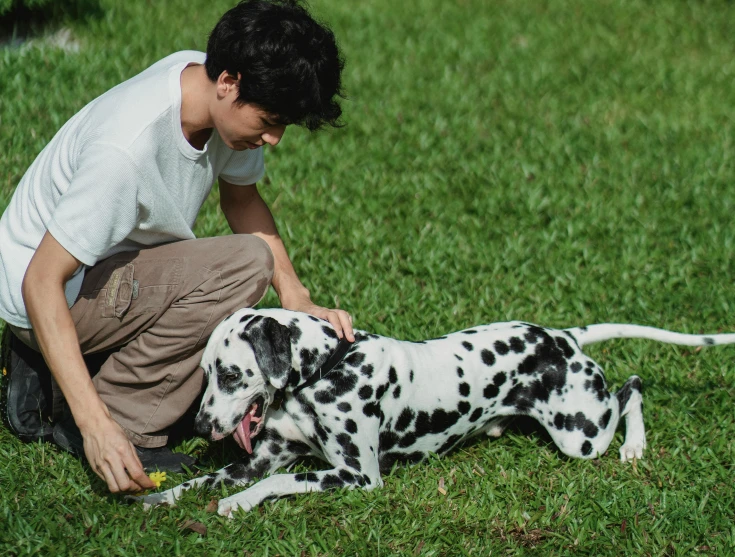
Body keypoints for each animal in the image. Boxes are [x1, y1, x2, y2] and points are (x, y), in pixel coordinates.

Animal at [138, 306, 735, 516]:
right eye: (206, 373)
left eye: (231, 374)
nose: (200, 426)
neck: (329, 367)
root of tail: (560, 336)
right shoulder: (256, 460)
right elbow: (205, 480)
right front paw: (158, 496)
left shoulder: (357, 477)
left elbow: (274, 484)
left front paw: (237, 504)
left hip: (582, 434)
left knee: (633, 388)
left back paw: (635, 447)